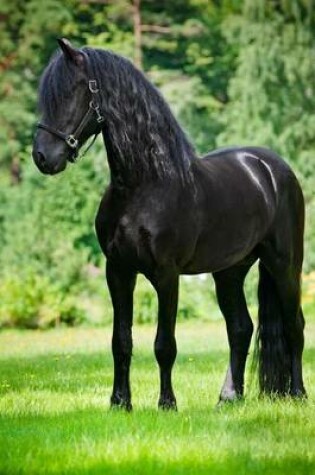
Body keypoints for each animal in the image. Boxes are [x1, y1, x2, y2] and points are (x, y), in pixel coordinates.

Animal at [33, 39, 308, 410]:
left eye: (73, 91)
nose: (42, 157)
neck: (142, 185)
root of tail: (271, 167)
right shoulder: (118, 271)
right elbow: (121, 341)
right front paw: (120, 403)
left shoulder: (166, 275)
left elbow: (165, 344)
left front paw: (167, 404)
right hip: (230, 271)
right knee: (240, 328)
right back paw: (229, 398)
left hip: (285, 264)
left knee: (294, 326)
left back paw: (297, 393)